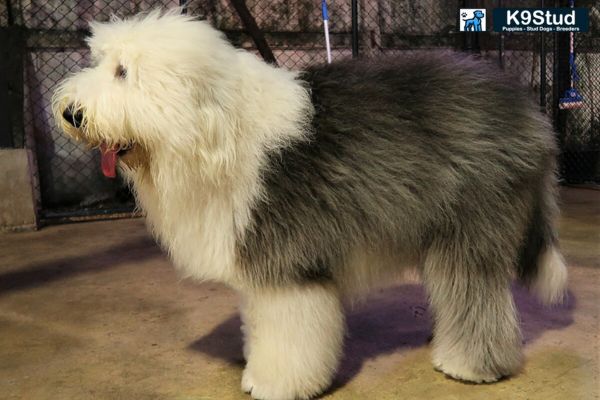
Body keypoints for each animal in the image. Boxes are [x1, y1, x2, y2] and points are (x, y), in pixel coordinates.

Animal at [51, 9, 568, 400]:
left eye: (123, 72)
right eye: (102, 63)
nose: (71, 113)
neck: (216, 131)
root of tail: (527, 109)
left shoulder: (288, 264)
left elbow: (289, 333)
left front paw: (274, 383)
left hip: (472, 224)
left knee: (477, 293)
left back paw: (470, 365)